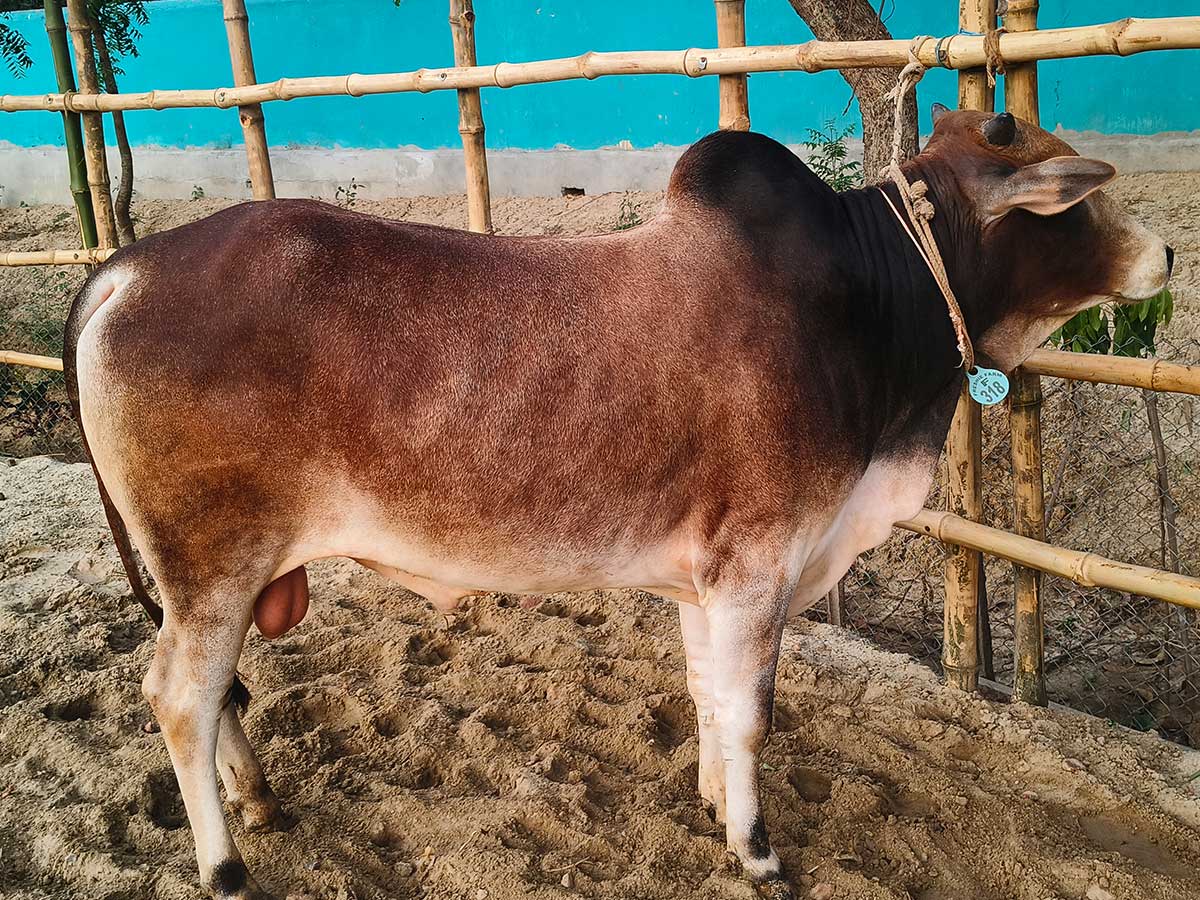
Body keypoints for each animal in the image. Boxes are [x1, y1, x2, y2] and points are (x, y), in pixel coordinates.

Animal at [63, 108, 1172, 899]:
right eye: (1075, 198)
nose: (1164, 254)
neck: (869, 299)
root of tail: (126, 267)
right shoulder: (758, 563)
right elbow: (754, 714)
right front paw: (757, 850)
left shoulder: (706, 579)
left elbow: (710, 698)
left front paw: (714, 806)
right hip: (212, 565)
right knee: (179, 697)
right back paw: (224, 868)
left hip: (212, 578)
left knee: (215, 698)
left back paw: (258, 803)